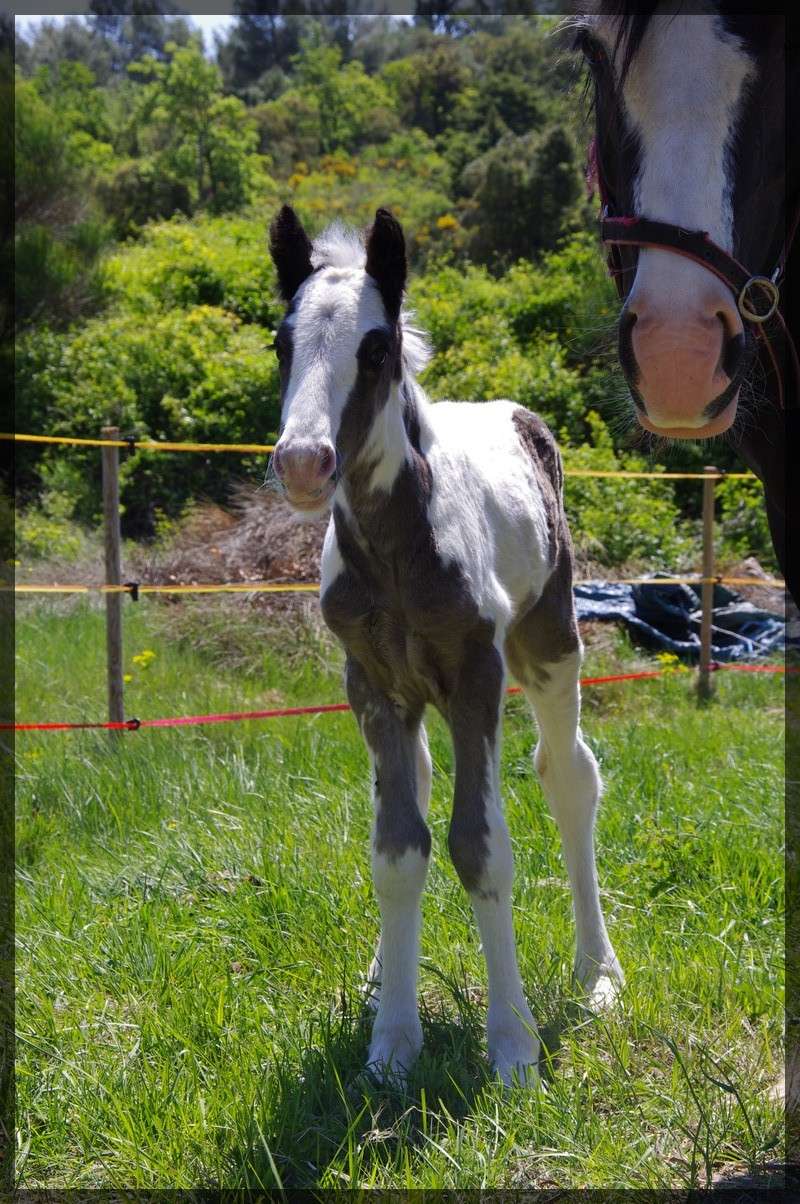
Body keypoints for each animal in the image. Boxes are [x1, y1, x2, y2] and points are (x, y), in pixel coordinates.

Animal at [267, 207, 616, 1093]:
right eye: (281, 342)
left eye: (375, 346)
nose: (304, 462)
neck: (396, 552)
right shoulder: (372, 683)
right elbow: (400, 848)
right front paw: (392, 1042)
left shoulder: (475, 677)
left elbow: (481, 846)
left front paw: (514, 1047)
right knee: (420, 787)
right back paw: (378, 978)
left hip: (549, 643)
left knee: (570, 776)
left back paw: (597, 973)